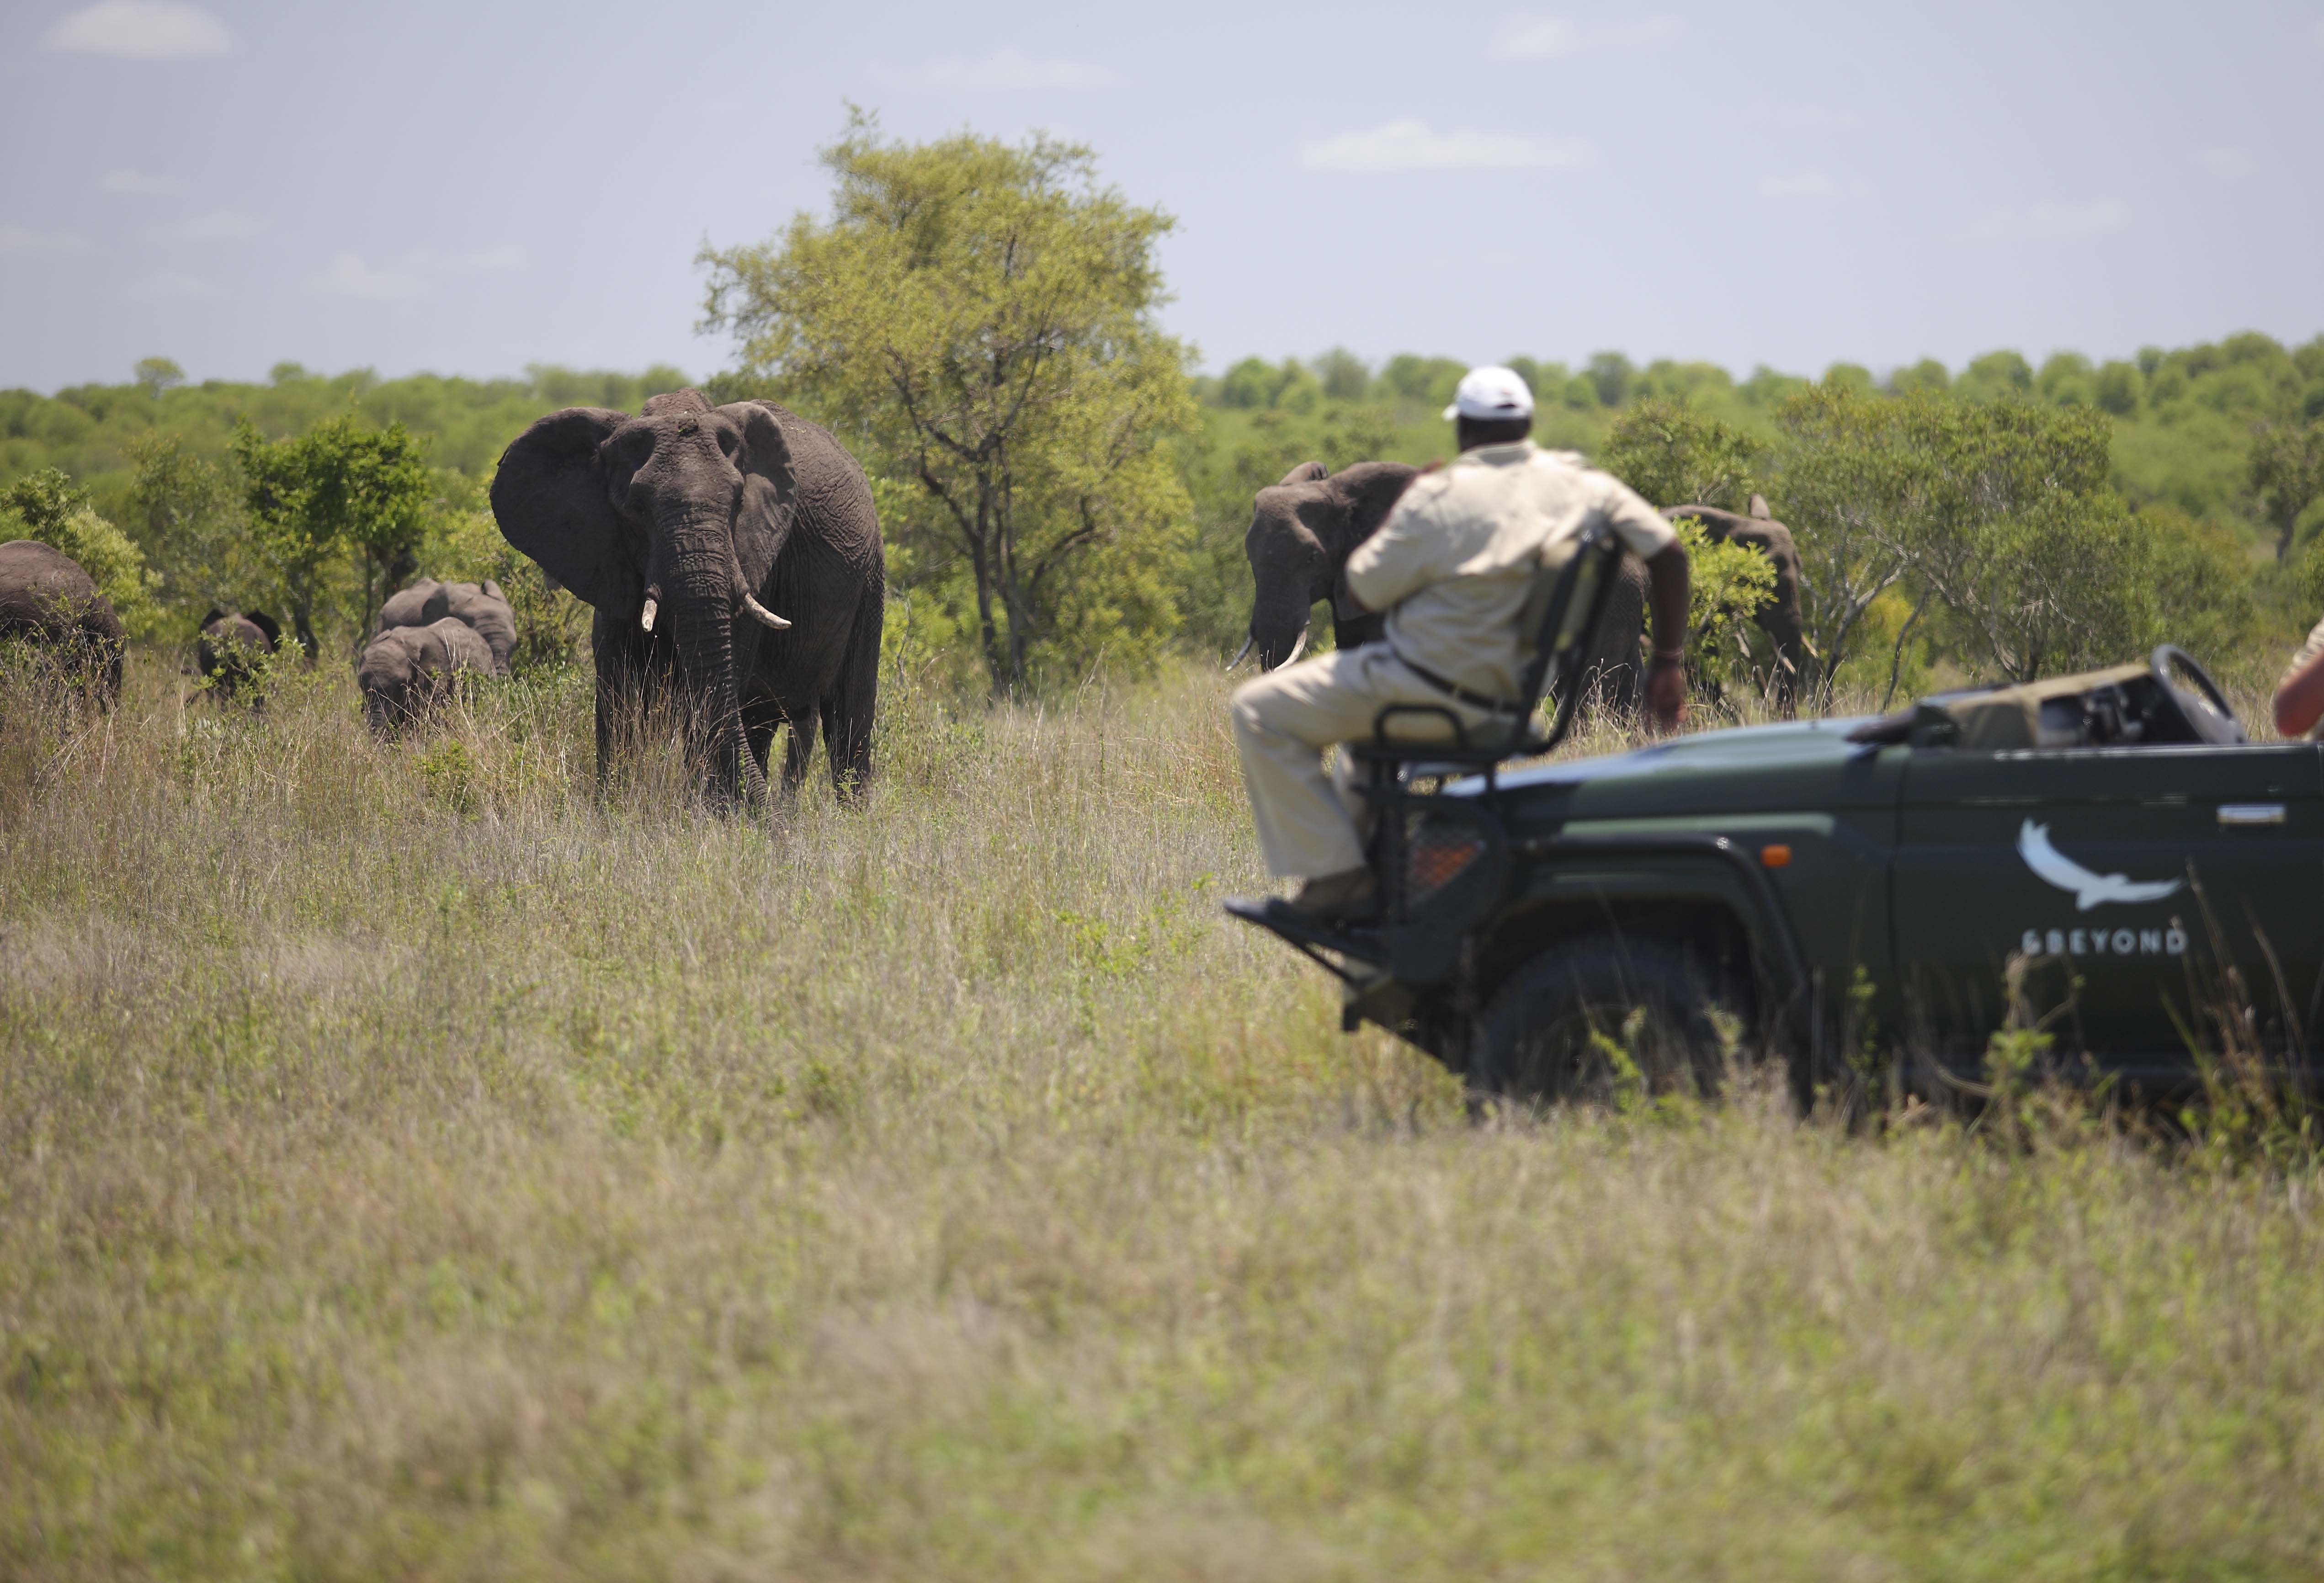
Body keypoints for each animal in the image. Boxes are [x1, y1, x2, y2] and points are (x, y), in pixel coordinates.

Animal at [491, 388, 883, 805]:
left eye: (738, 503)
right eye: (636, 509)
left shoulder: (754, 561)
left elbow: (710, 698)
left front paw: (705, 815)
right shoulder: (610, 561)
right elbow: (619, 697)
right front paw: (613, 809)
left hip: (870, 575)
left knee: (848, 717)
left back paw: (851, 814)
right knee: (759, 725)